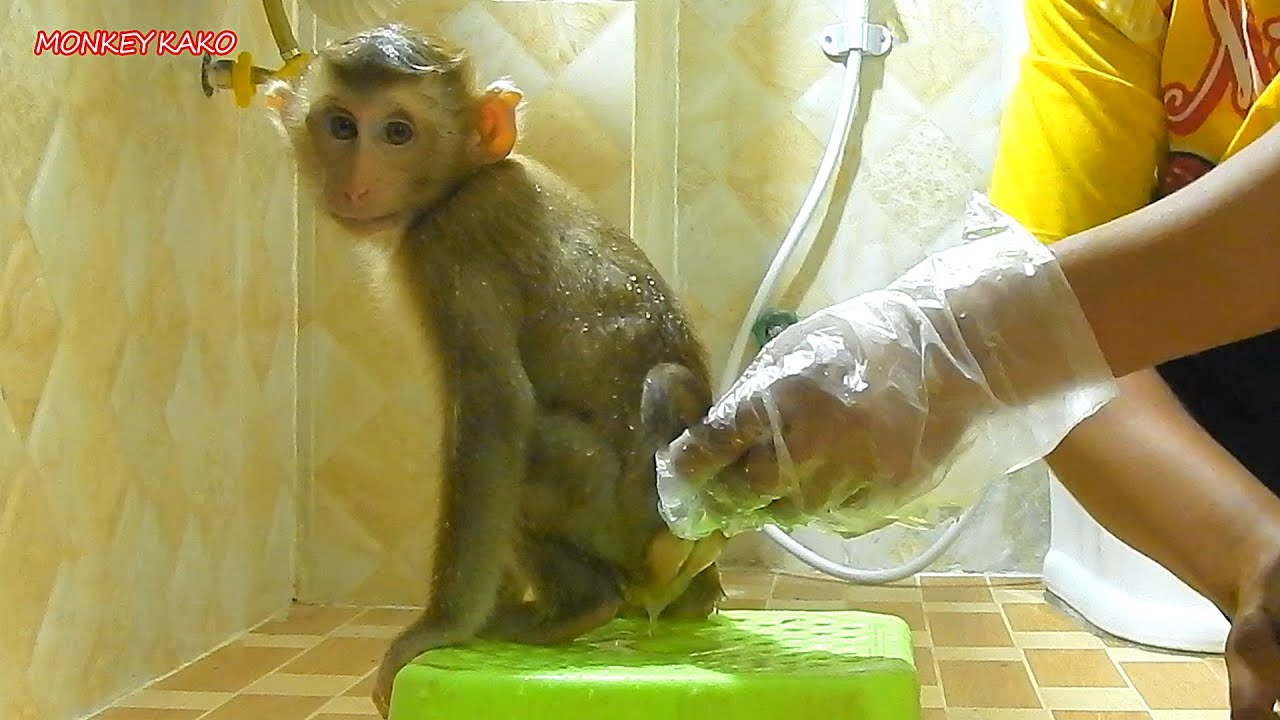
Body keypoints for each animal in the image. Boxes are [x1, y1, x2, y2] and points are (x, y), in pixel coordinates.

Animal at [263, 24, 727, 718]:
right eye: (342, 125)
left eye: (397, 131)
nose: (357, 180)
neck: (469, 177)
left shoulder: (450, 243)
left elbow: (494, 414)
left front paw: (439, 630)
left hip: (614, 513)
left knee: (533, 447)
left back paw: (579, 606)